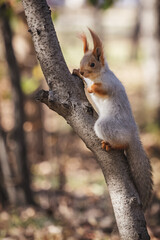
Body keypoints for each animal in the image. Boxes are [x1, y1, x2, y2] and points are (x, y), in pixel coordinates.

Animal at [72, 29, 152, 211]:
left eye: (92, 64)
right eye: (81, 61)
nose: (83, 71)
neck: (98, 76)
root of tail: (133, 133)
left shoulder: (110, 84)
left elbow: (103, 89)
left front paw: (91, 88)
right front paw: (76, 72)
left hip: (106, 126)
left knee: (122, 143)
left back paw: (112, 145)